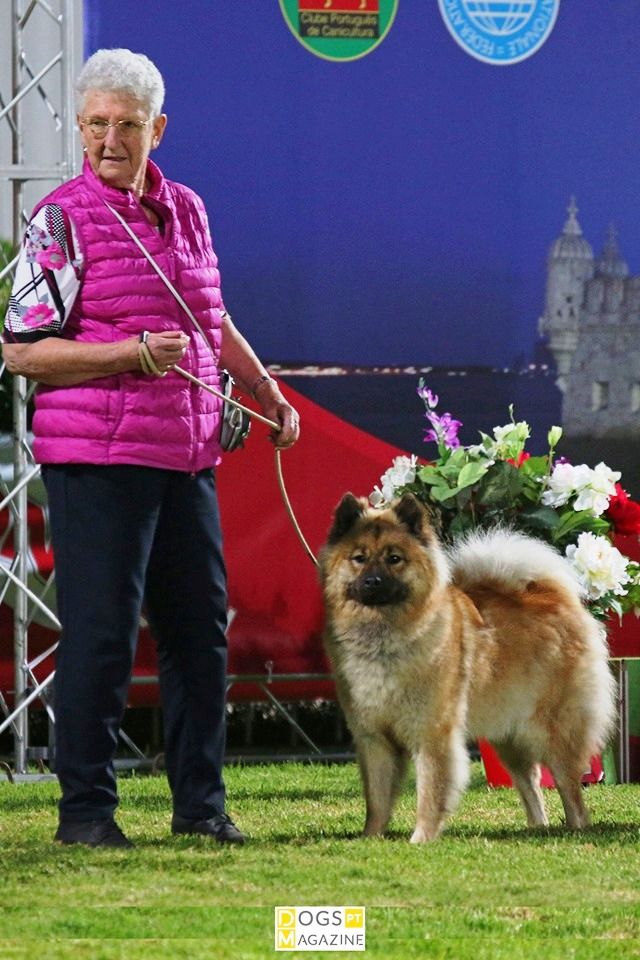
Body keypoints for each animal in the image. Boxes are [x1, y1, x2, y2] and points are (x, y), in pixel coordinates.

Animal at [322, 496, 616, 840]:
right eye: (359, 558)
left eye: (395, 559)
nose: (373, 581)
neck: (383, 637)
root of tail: (549, 594)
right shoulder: (374, 739)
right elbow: (377, 798)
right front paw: (371, 837)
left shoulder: (432, 734)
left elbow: (430, 791)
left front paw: (420, 839)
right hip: (508, 737)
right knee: (530, 783)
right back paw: (536, 828)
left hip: (553, 732)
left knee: (570, 788)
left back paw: (573, 829)